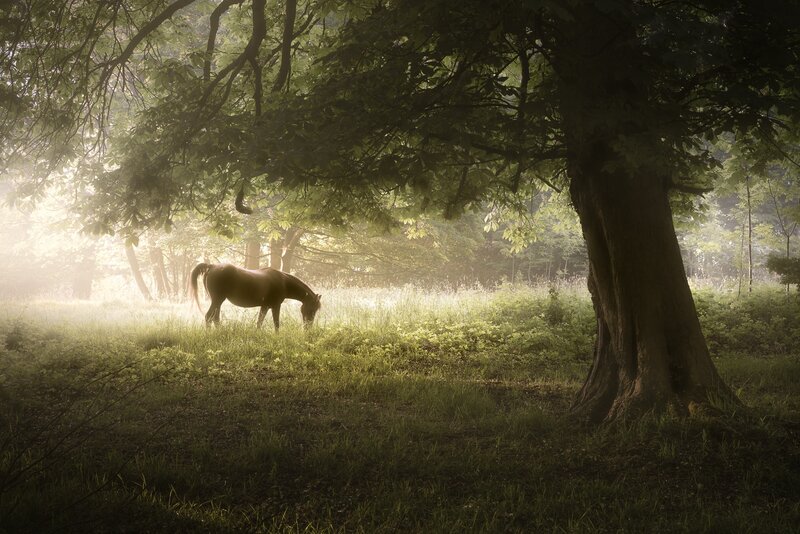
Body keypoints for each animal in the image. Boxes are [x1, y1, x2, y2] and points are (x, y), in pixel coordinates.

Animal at [189, 263, 321, 329]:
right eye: (312, 308)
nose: (308, 328)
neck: (283, 282)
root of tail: (212, 266)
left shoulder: (265, 306)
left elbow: (259, 323)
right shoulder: (275, 306)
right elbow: (276, 324)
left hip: (218, 302)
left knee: (215, 319)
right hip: (217, 300)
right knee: (208, 317)